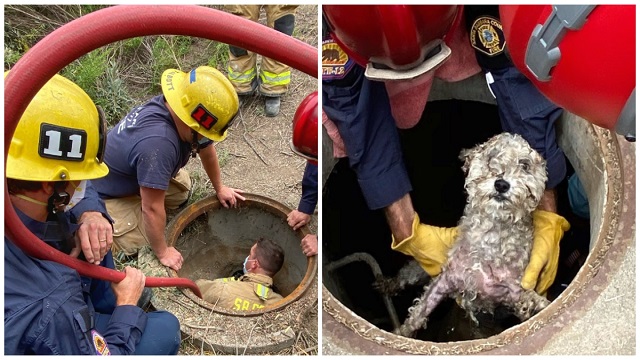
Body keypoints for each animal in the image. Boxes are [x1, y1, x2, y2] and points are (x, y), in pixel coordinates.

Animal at [398, 132, 548, 338]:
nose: (501, 184)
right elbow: (420, 311)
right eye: (491, 157)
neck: (490, 240)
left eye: (524, 165)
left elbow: (525, 298)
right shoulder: (447, 279)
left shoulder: (512, 289)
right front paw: (401, 332)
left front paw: (533, 304)